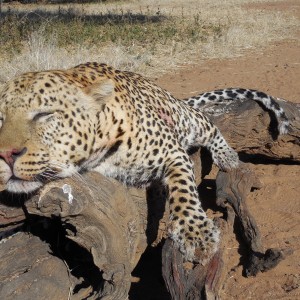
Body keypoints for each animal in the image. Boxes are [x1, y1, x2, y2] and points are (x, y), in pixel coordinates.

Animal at [0, 62, 288, 262]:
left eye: (44, 115)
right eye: (0, 118)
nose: (5, 154)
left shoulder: (172, 152)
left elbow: (183, 190)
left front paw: (196, 234)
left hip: (189, 120)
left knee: (210, 124)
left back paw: (226, 156)